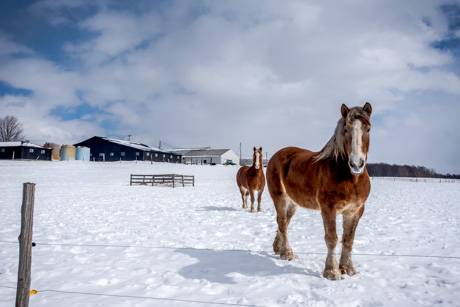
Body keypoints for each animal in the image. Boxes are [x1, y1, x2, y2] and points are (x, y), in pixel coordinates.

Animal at [268, 103, 372, 282]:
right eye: (346, 129)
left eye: (368, 129)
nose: (356, 164)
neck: (351, 179)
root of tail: (277, 155)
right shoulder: (328, 208)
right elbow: (332, 239)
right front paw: (331, 272)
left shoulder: (355, 211)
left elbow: (348, 240)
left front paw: (348, 269)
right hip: (279, 197)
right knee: (282, 222)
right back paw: (286, 253)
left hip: (293, 202)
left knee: (285, 222)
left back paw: (277, 248)